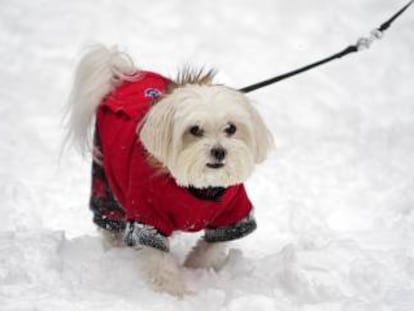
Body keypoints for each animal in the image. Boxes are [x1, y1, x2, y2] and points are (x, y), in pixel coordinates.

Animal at [66, 45, 274, 296]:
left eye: (231, 128)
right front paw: (173, 292)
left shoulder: (233, 212)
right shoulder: (148, 214)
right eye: (195, 130)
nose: (219, 151)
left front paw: (196, 269)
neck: (196, 189)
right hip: (104, 176)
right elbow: (159, 260)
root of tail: (122, 74)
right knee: (109, 219)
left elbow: (213, 247)